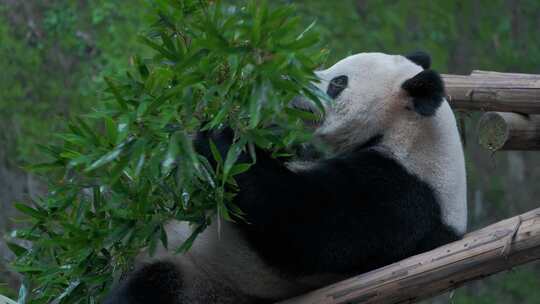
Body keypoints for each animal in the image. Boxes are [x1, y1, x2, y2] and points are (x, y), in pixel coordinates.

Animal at [105, 52, 468, 304]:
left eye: (338, 83)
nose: (287, 81)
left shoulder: (401, 195)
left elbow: (303, 224)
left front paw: (221, 134)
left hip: (201, 280)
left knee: (148, 290)